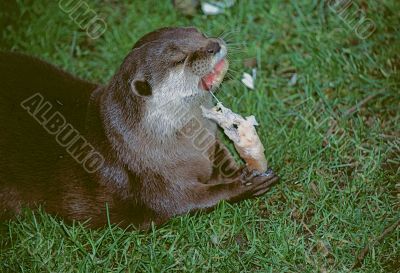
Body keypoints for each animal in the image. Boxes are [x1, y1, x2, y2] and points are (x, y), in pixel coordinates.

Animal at [0, 27, 278, 227]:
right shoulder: (154, 179)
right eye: (180, 59)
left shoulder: (209, 142)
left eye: (198, 32)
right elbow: (181, 203)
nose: (214, 45)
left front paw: (244, 168)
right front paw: (244, 185)